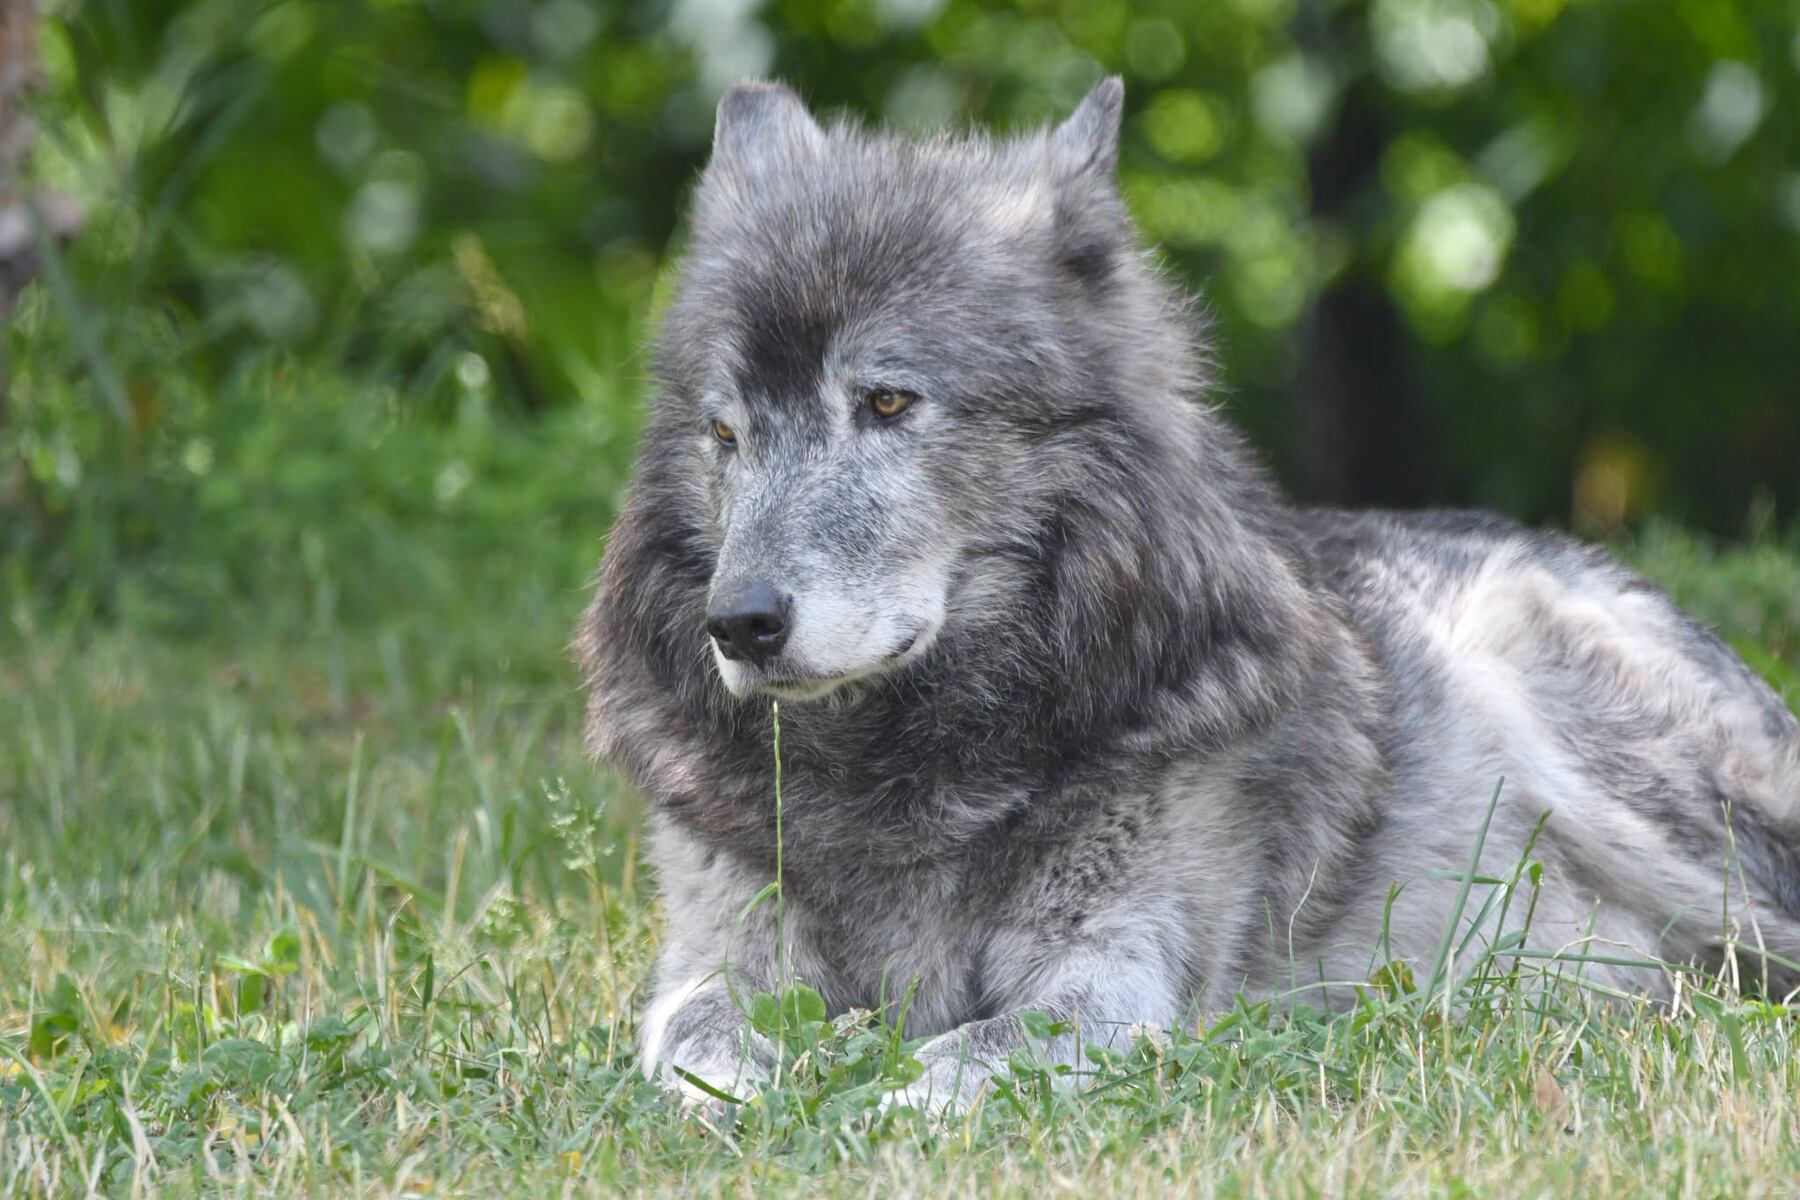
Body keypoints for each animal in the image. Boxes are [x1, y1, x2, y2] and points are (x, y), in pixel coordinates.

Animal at [576, 78, 1800, 1111]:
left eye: (886, 402)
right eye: (726, 432)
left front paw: (862, 1103)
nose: (741, 623)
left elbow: (951, 1059)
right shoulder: (712, 959)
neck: (911, 771)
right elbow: (702, 1034)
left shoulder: (1109, 980)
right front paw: (770, 1087)